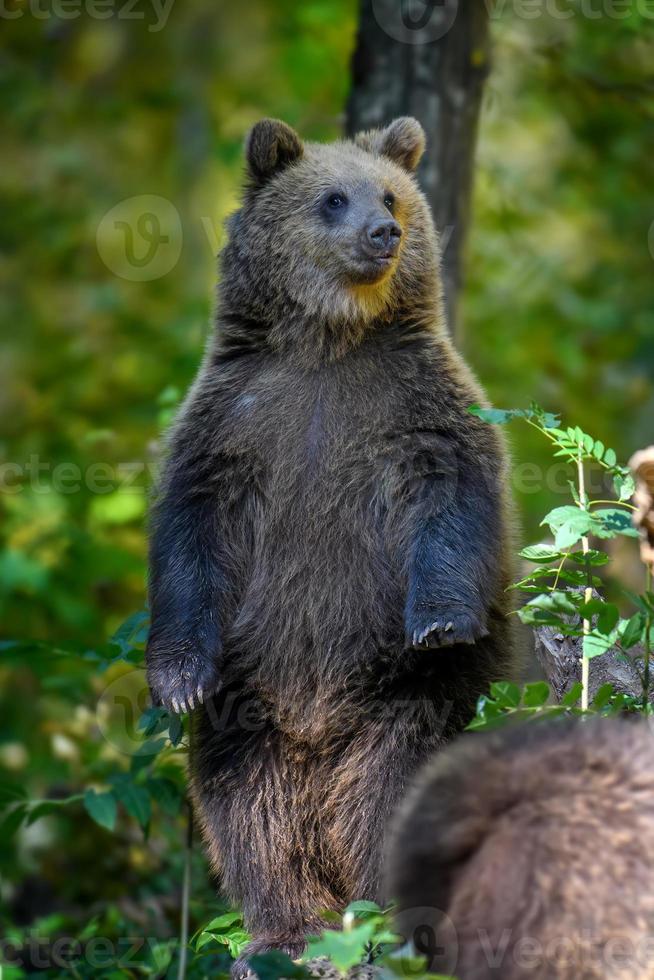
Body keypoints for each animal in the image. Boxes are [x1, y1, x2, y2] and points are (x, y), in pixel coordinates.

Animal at [147, 118, 516, 968]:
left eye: (391, 194)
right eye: (333, 198)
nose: (385, 233)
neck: (328, 343)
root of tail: (319, 736)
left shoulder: (415, 407)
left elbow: (453, 496)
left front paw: (440, 617)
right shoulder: (234, 424)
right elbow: (189, 535)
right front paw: (175, 677)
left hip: (402, 695)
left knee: (392, 786)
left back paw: (387, 924)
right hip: (253, 696)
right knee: (247, 805)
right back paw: (283, 930)